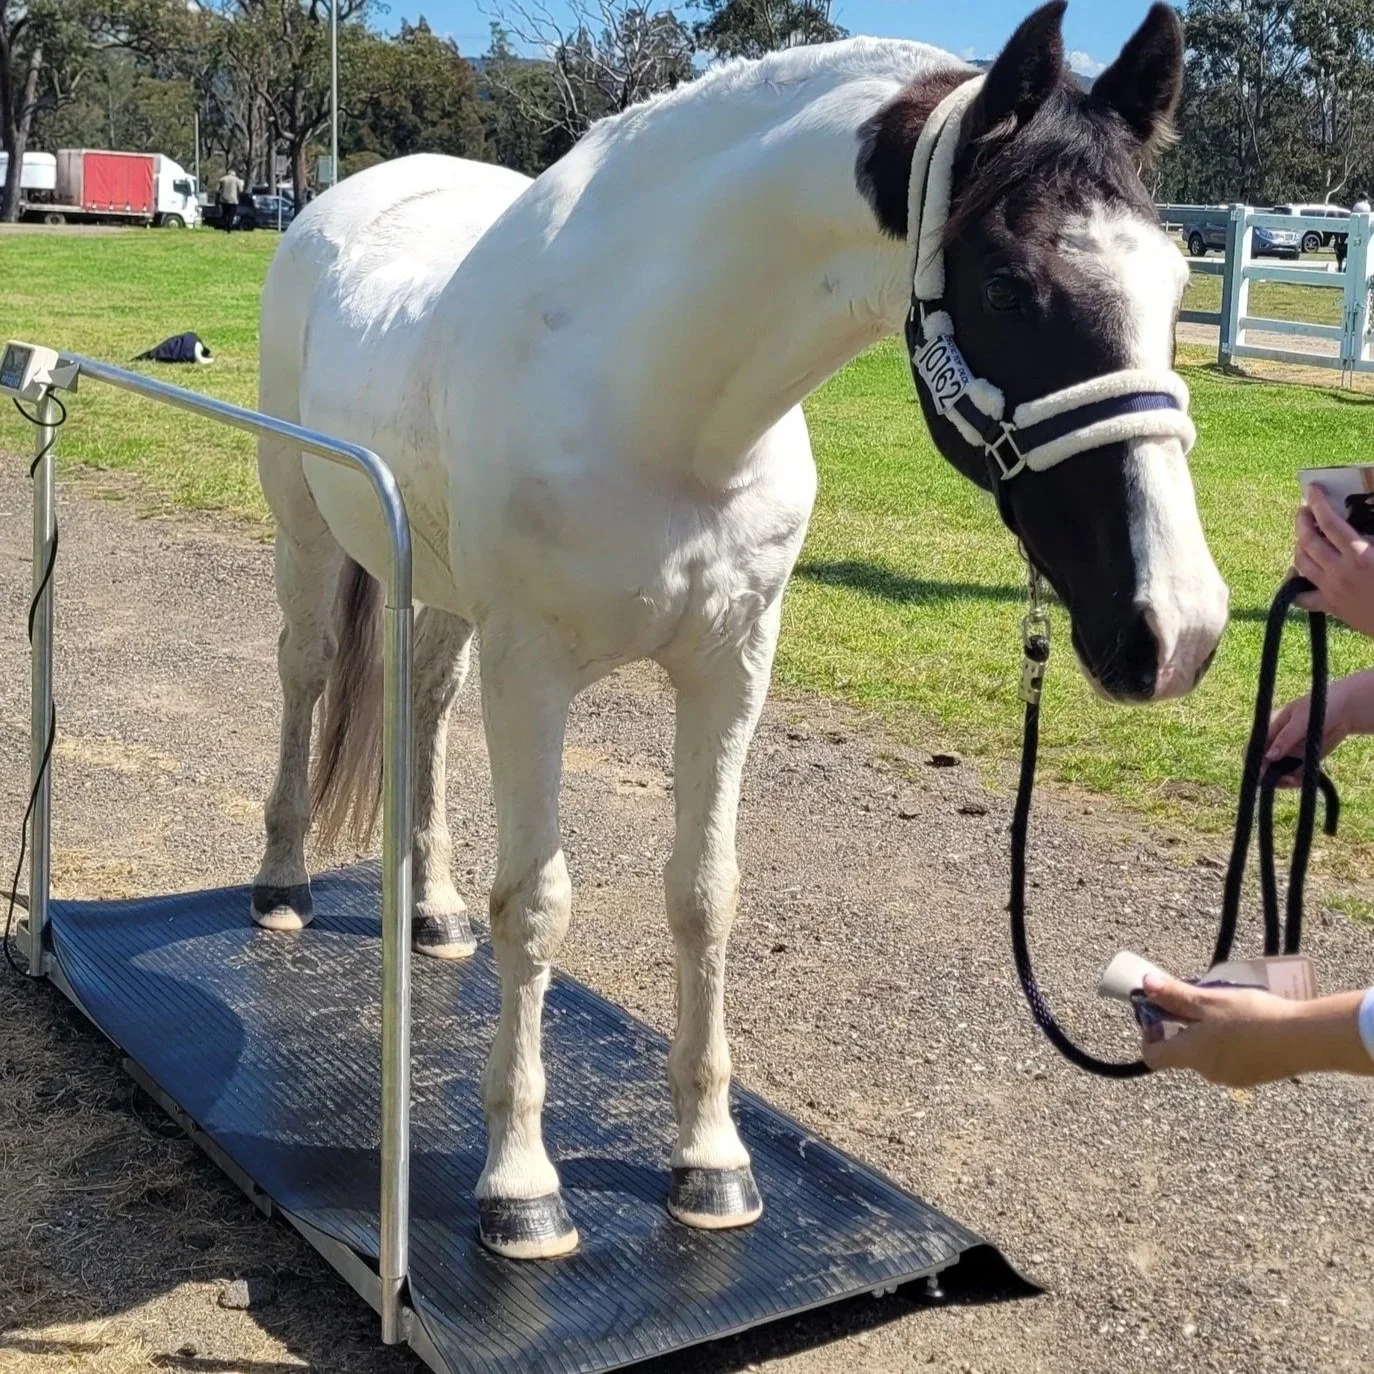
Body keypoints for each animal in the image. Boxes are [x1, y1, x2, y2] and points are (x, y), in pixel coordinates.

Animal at [251, 0, 1229, 1260]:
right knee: (307, 674)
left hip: (451, 595)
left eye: (1177, 281)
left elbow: (705, 893)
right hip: (307, 533)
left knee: (421, 702)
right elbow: (540, 904)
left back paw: (431, 909)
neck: (656, 394)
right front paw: (521, 1187)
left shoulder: (730, 668)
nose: (1179, 629)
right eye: (1010, 285)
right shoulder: (536, 672)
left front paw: (710, 1163)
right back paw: (281, 883)